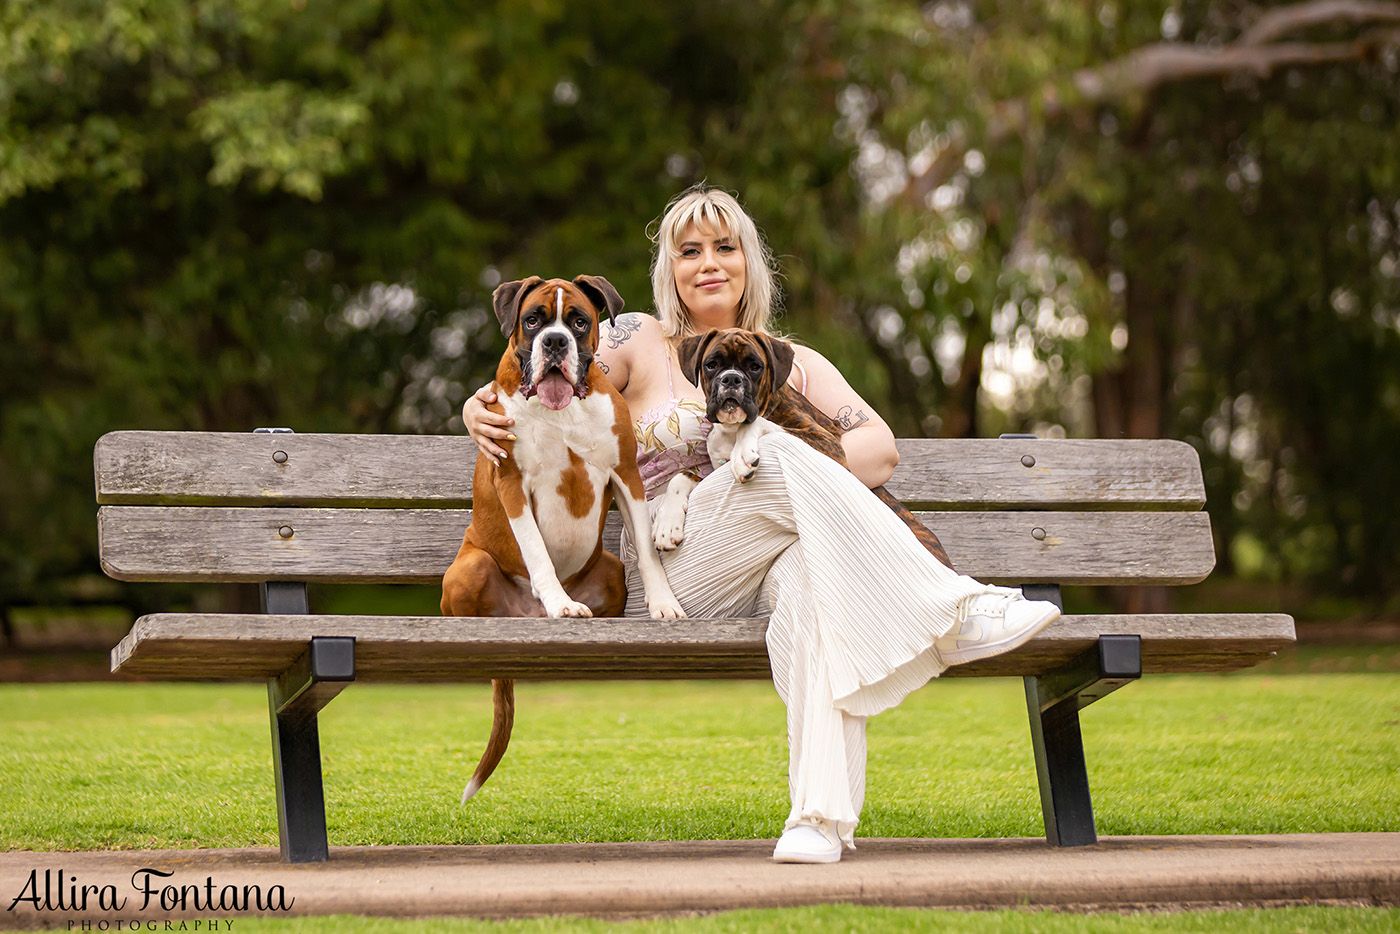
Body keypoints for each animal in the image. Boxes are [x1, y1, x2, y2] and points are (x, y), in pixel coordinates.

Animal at [442, 271, 683, 806]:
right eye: (533, 320)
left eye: (579, 321)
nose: (554, 342)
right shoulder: (513, 483)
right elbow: (535, 550)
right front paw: (558, 602)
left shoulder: (626, 475)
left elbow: (649, 554)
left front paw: (663, 604)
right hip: (472, 567)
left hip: (611, 572)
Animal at [669, 329, 963, 571]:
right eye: (712, 365)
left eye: (755, 366)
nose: (731, 379)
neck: (729, 430)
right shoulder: (713, 475)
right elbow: (684, 477)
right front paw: (666, 521)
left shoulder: (828, 443)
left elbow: (756, 423)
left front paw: (742, 452)